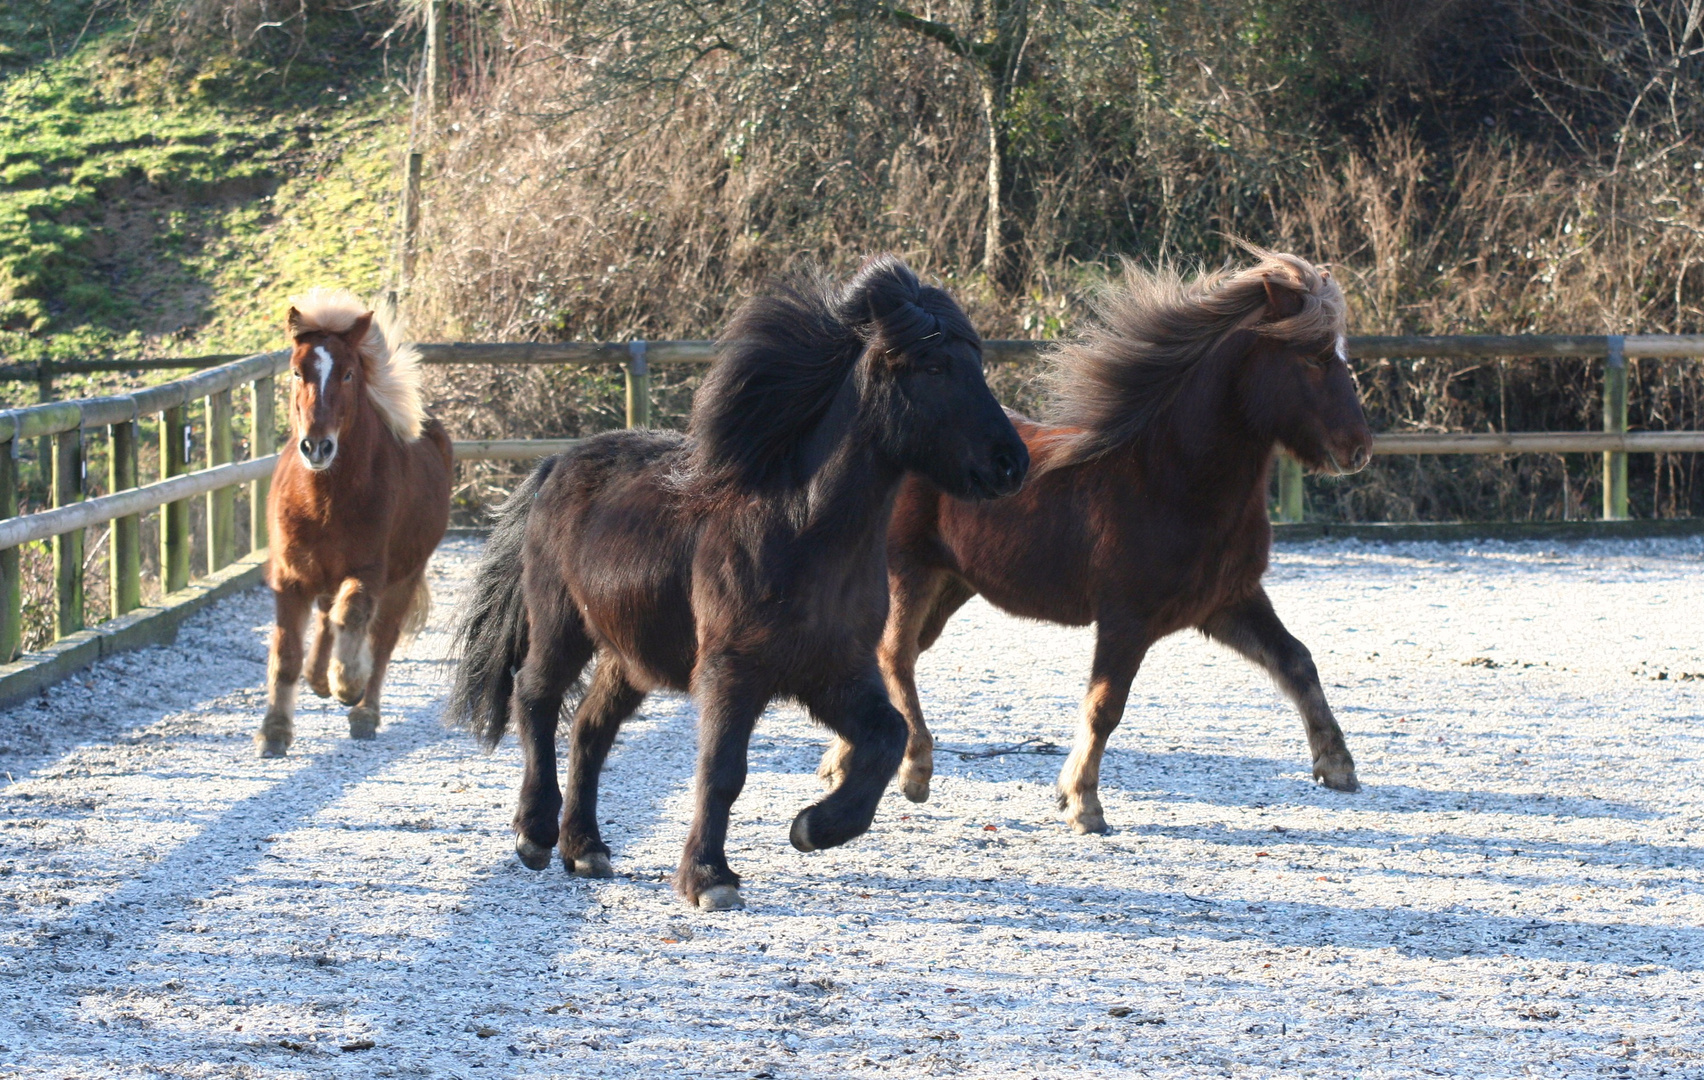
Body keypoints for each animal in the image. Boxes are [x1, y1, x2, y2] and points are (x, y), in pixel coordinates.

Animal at [255, 289, 449, 752]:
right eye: (296, 371)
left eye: (347, 374)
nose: (317, 447)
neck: (324, 500)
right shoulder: (289, 577)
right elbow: (286, 653)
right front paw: (274, 731)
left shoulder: (369, 572)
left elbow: (354, 616)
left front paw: (348, 682)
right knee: (327, 617)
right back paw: (319, 678)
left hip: (404, 578)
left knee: (381, 640)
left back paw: (364, 709)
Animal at [446, 257, 1022, 906]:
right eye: (934, 365)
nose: (1011, 463)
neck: (801, 531)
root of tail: (555, 465)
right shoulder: (732, 670)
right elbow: (723, 772)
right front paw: (709, 877)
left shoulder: (835, 671)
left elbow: (887, 736)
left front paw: (815, 827)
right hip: (561, 626)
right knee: (536, 700)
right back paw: (536, 833)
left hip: (631, 656)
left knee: (590, 729)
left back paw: (585, 848)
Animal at [817, 248, 1376, 827]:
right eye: (1314, 357)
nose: (1358, 450)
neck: (1171, 478)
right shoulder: (1127, 618)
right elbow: (1106, 705)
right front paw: (1082, 802)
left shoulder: (1228, 601)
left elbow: (1297, 661)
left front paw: (1337, 766)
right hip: (909, 572)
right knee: (895, 657)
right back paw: (914, 770)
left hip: (950, 586)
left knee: (885, 658)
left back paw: (845, 762)